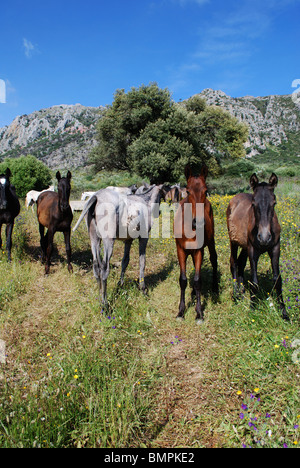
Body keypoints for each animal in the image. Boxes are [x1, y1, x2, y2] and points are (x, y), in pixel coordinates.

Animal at [173, 165, 218, 322]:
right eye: (187, 191)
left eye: (206, 190)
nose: (197, 222)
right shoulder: (180, 250)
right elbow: (183, 280)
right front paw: (180, 312)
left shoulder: (199, 250)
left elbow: (198, 280)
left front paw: (199, 313)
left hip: (211, 241)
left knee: (214, 259)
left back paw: (215, 287)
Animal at [227, 173, 288, 322]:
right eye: (254, 204)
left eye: (274, 203)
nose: (264, 238)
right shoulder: (253, 251)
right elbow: (254, 282)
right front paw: (252, 309)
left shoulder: (275, 249)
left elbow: (277, 280)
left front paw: (284, 312)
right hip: (234, 242)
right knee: (234, 262)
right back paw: (236, 294)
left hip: (244, 245)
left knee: (241, 262)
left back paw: (242, 291)